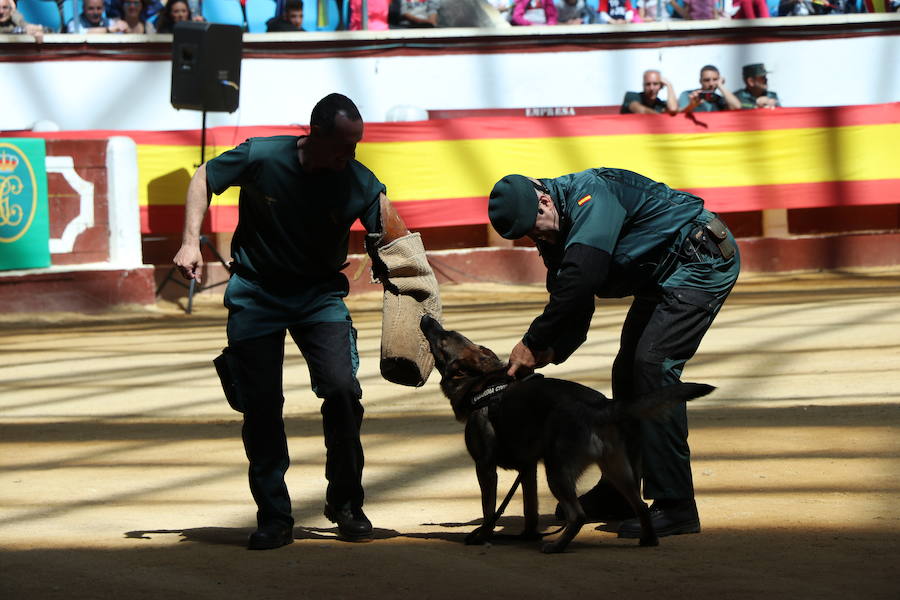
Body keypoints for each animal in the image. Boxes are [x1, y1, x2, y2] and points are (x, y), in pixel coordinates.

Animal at [418, 316, 712, 556]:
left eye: (443, 339)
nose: (426, 318)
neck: (483, 383)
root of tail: (601, 405)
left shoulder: (485, 467)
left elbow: (488, 510)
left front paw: (482, 536)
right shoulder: (528, 470)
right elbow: (530, 509)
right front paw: (528, 536)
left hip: (557, 471)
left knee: (578, 515)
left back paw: (557, 546)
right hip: (617, 471)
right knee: (639, 505)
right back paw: (647, 540)